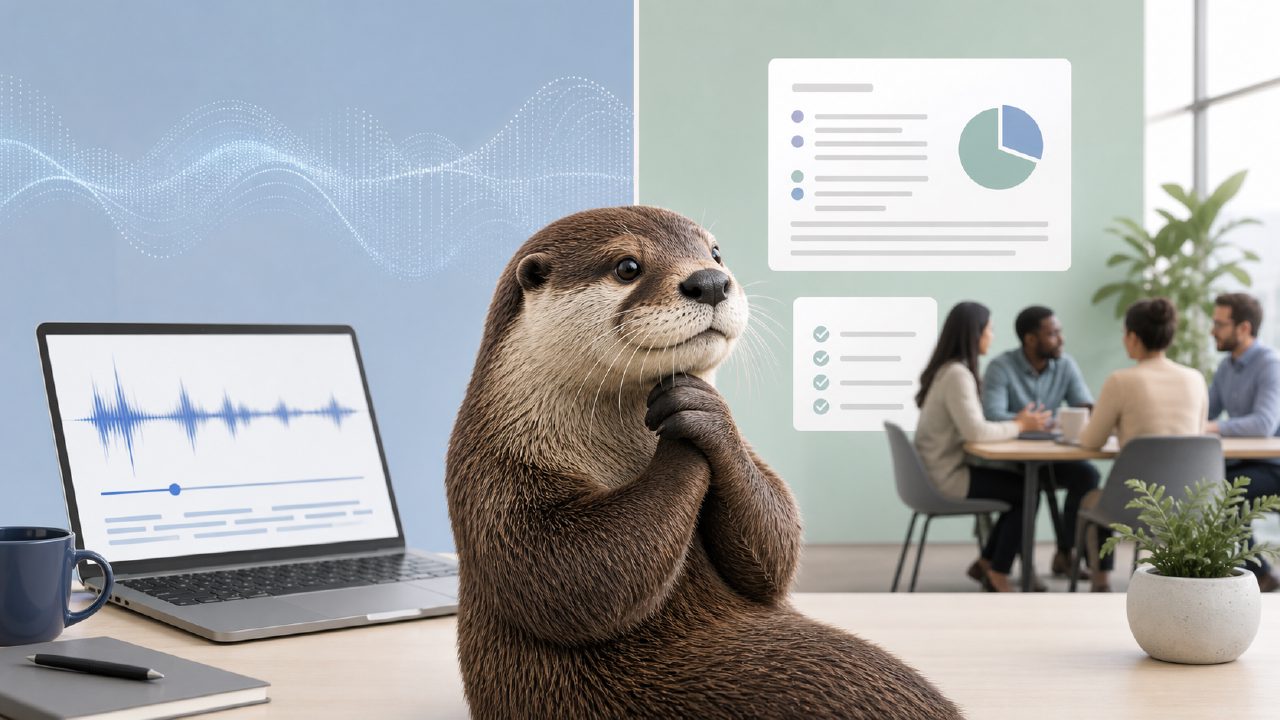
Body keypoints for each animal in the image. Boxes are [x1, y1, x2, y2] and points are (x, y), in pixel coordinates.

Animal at [445, 206, 961, 719]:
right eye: (627, 267)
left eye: (715, 252)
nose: (711, 281)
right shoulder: (496, 470)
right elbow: (563, 574)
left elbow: (776, 550)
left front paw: (703, 408)